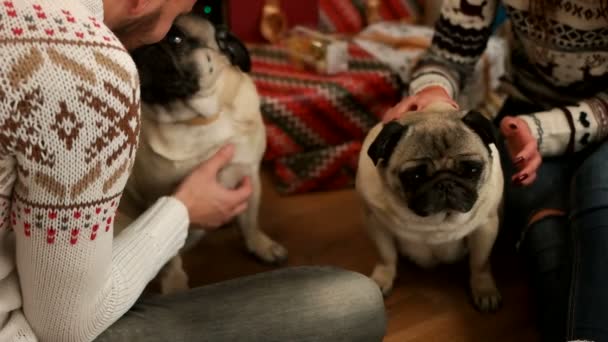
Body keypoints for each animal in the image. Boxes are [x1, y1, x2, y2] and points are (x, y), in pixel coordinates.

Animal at [117, 14, 288, 294]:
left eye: (176, 39)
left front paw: (260, 245)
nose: (140, 50)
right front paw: (175, 283)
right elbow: (169, 256)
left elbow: (250, 220)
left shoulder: (249, 174)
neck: (196, 119)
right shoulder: (160, 198)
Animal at [356, 109, 504, 312]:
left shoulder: (485, 228)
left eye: (472, 170)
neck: (437, 222)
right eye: (415, 176)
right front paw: (383, 278)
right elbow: (386, 256)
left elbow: (479, 264)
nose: (445, 183)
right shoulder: (377, 225)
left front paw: (484, 289)